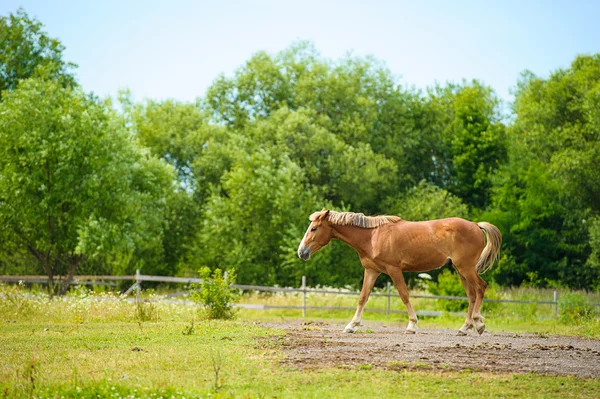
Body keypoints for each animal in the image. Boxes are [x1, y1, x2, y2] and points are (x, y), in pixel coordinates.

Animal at [296, 209, 502, 338]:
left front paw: (412, 325)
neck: (372, 236)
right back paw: (464, 328)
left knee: (480, 288)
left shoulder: (394, 270)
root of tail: (475, 225)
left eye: (314, 228)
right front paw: (351, 326)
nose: (301, 252)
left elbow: (404, 295)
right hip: (460, 270)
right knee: (471, 295)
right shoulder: (371, 271)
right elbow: (363, 298)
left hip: (466, 268)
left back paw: (478, 323)